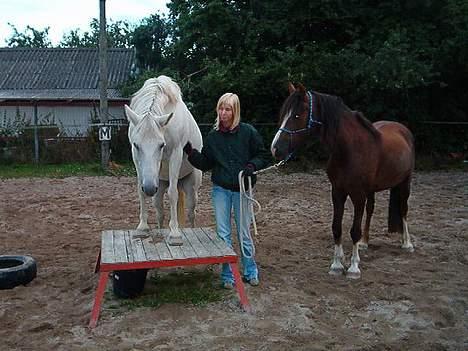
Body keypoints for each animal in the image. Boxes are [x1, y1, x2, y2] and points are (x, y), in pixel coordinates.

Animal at [125, 75, 202, 246]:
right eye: (136, 145)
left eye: (161, 145)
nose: (149, 188)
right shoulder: (134, 157)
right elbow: (140, 192)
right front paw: (142, 228)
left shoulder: (176, 154)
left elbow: (172, 193)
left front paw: (174, 234)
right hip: (159, 188)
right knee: (160, 212)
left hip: (191, 189)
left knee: (191, 213)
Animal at [272, 84, 414, 280]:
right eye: (283, 113)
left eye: (297, 115)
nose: (275, 149)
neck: (349, 149)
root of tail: (402, 128)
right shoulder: (337, 192)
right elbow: (336, 227)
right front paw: (337, 265)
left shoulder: (358, 195)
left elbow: (354, 230)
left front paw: (353, 268)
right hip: (372, 190)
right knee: (371, 210)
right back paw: (364, 243)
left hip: (405, 183)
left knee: (403, 209)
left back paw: (407, 243)